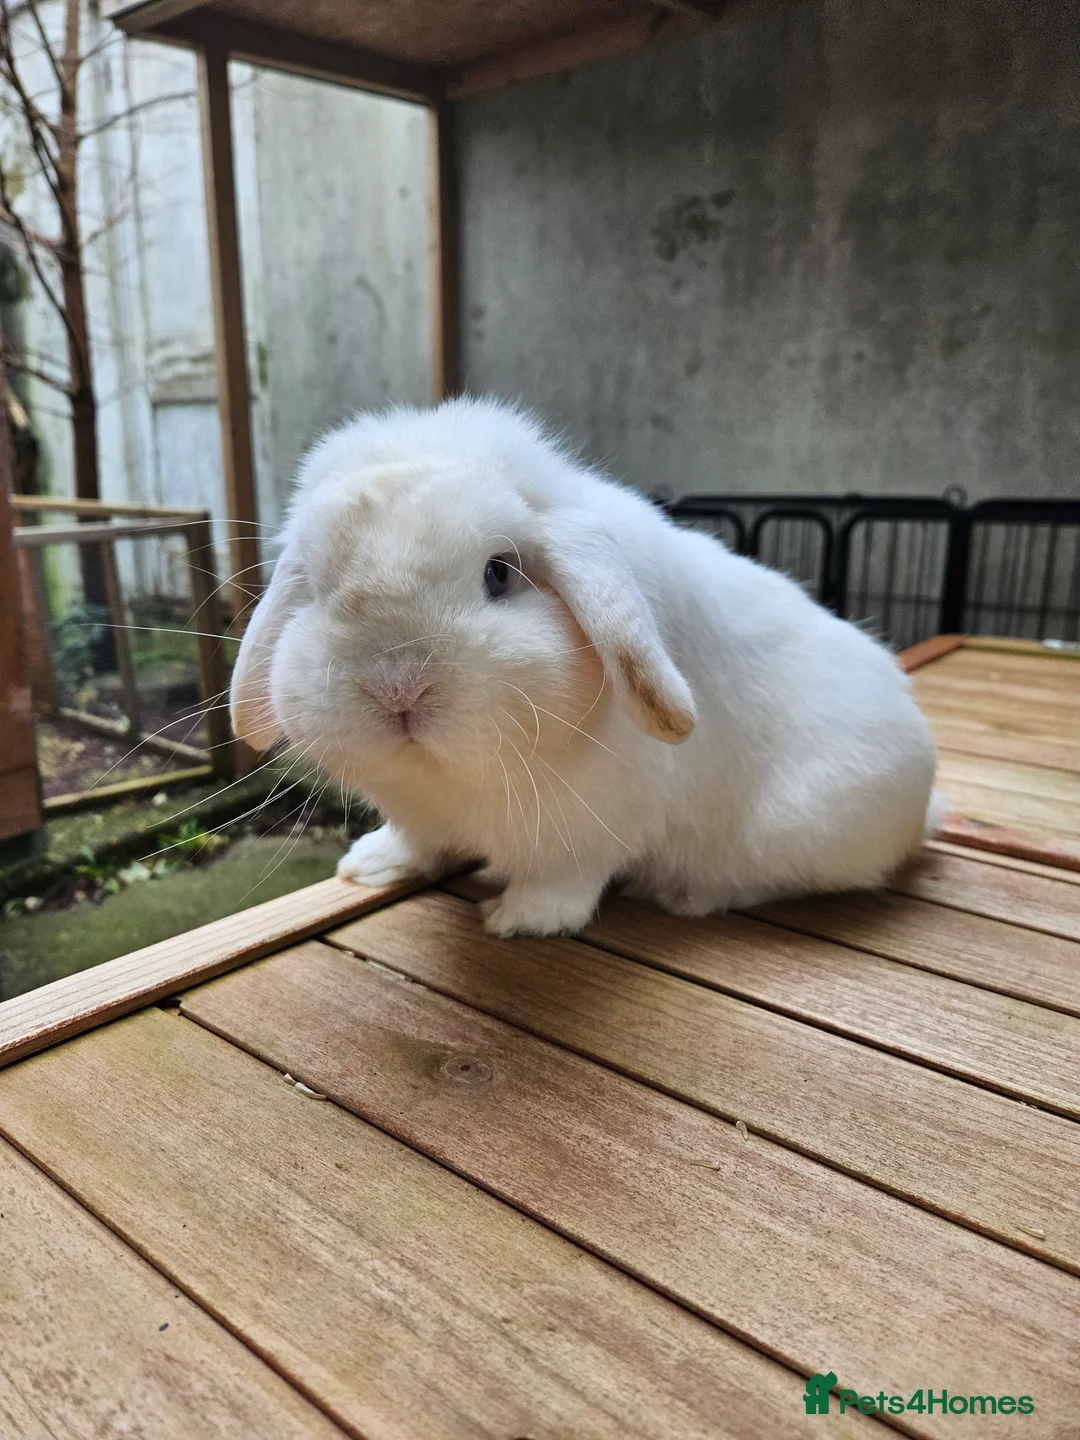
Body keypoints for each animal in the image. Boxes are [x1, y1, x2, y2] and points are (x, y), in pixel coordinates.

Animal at [230, 396, 942, 938]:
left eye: (499, 572)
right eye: (317, 586)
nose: (398, 686)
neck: (455, 779)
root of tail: (926, 801)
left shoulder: (589, 830)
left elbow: (563, 883)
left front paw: (516, 920)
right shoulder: (418, 815)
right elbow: (416, 844)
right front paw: (369, 865)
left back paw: (690, 896)